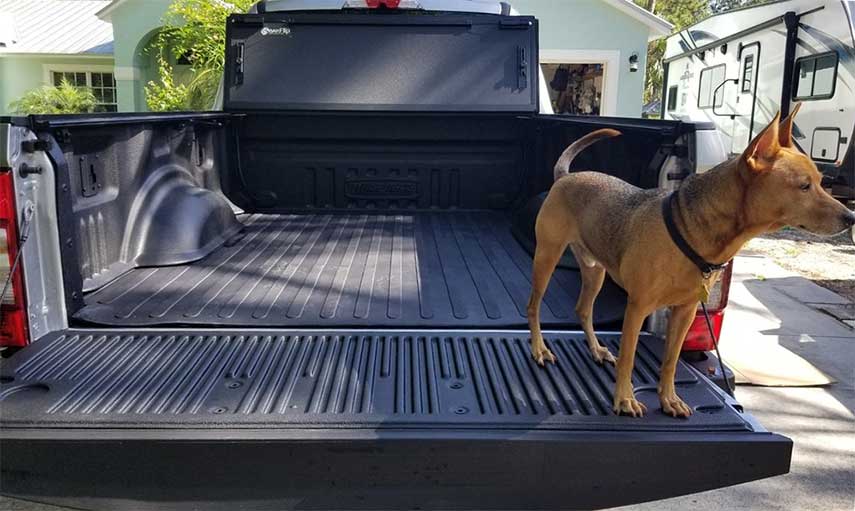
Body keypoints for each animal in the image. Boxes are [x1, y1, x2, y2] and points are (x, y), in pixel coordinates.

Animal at [528, 106, 855, 418]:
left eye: (821, 182)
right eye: (804, 186)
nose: (850, 217)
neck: (690, 229)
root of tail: (566, 176)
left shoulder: (685, 312)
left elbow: (671, 361)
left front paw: (669, 399)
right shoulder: (637, 308)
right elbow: (628, 358)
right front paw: (625, 400)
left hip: (595, 271)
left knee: (583, 310)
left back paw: (596, 350)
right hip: (547, 257)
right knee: (534, 306)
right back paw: (539, 349)